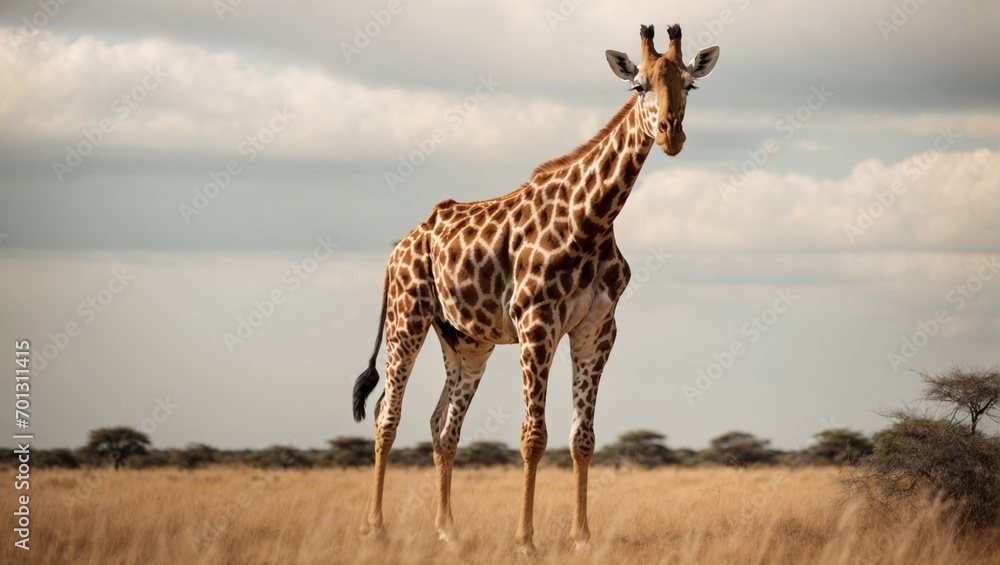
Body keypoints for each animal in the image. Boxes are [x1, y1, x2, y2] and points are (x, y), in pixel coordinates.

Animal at [352, 23, 719, 553]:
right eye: (638, 86)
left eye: (691, 85)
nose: (672, 134)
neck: (591, 223)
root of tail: (398, 249)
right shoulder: (536, 323)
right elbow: (533, 436)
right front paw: (526, 539)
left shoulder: (597, 330)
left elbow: (582, 437)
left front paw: (582, 536)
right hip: (408, 319)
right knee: (386, 414)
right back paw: (376, 529)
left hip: (466, 341)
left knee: (444, 426)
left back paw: (448, 532)